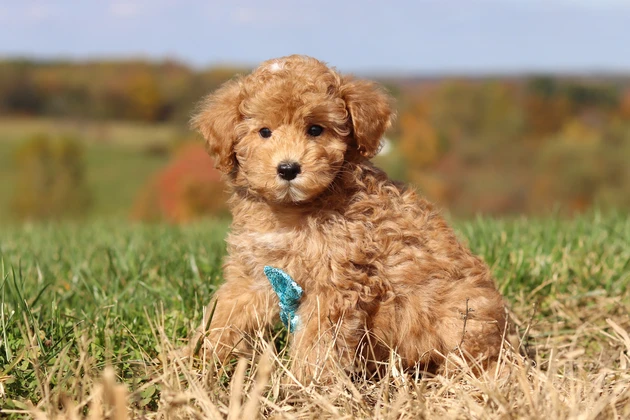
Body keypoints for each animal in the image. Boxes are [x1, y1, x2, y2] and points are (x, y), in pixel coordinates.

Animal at [189, 54, 508, 382]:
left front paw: (306, 382)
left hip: (463, 314)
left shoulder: (335, 282)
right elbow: (226, 314)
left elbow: (318, 338)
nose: (288, 168)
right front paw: (198, 357)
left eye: (315, 129)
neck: (293, 210)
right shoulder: (253, 272)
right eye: (264, 132)